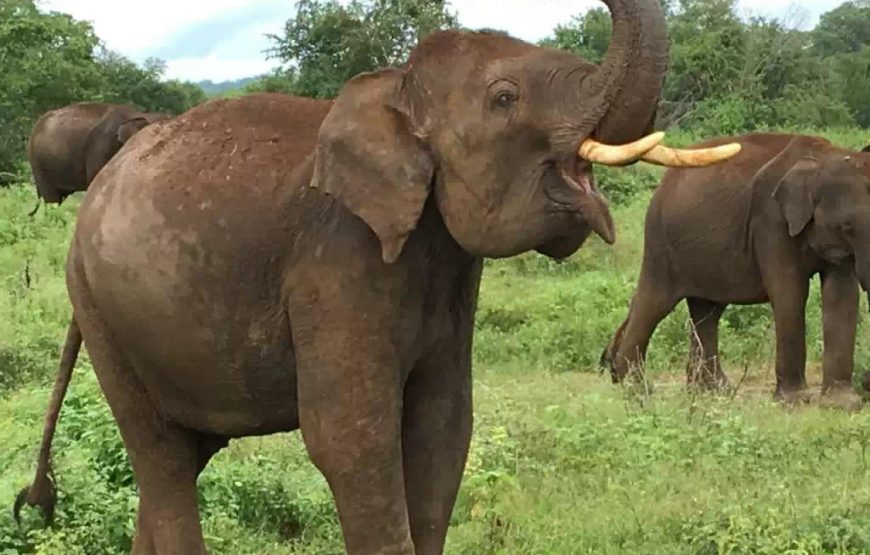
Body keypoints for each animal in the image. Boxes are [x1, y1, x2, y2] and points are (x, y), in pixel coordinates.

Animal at [604, 131, 870, 408]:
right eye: (848, 227)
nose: (866, 382)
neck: (827, 156)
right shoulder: (770, 220)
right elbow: (790, 292)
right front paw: (795, 400)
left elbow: (842, 296)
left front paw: (843, 402)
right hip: (660, 241)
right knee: (655, 303)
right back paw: (637, 392)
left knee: (707, 311)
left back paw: (713, 393)